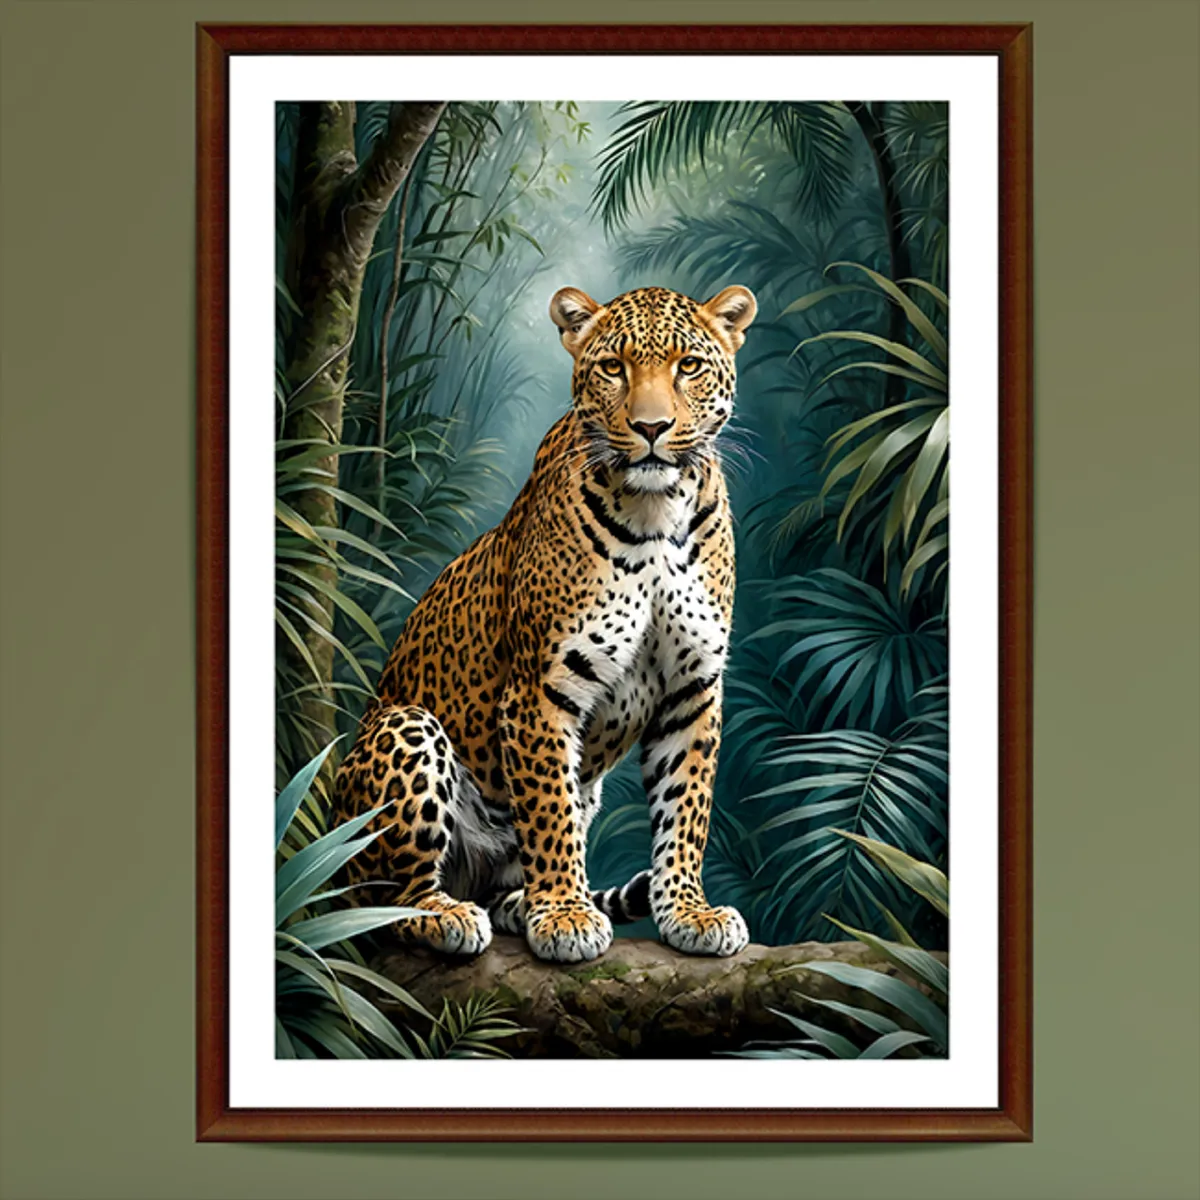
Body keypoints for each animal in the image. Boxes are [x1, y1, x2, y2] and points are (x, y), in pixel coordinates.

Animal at [331, 282, 757, 964]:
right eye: (613, 367)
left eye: (688, 365)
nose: (652, 428)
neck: (656, 512)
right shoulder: (541, 687)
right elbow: (548, 810)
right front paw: (565, 916)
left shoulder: (693, 687)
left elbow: (686, 808)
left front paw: (688, 910)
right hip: (407, 729)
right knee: (382, 902)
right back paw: (449, 915)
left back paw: (515, 905)